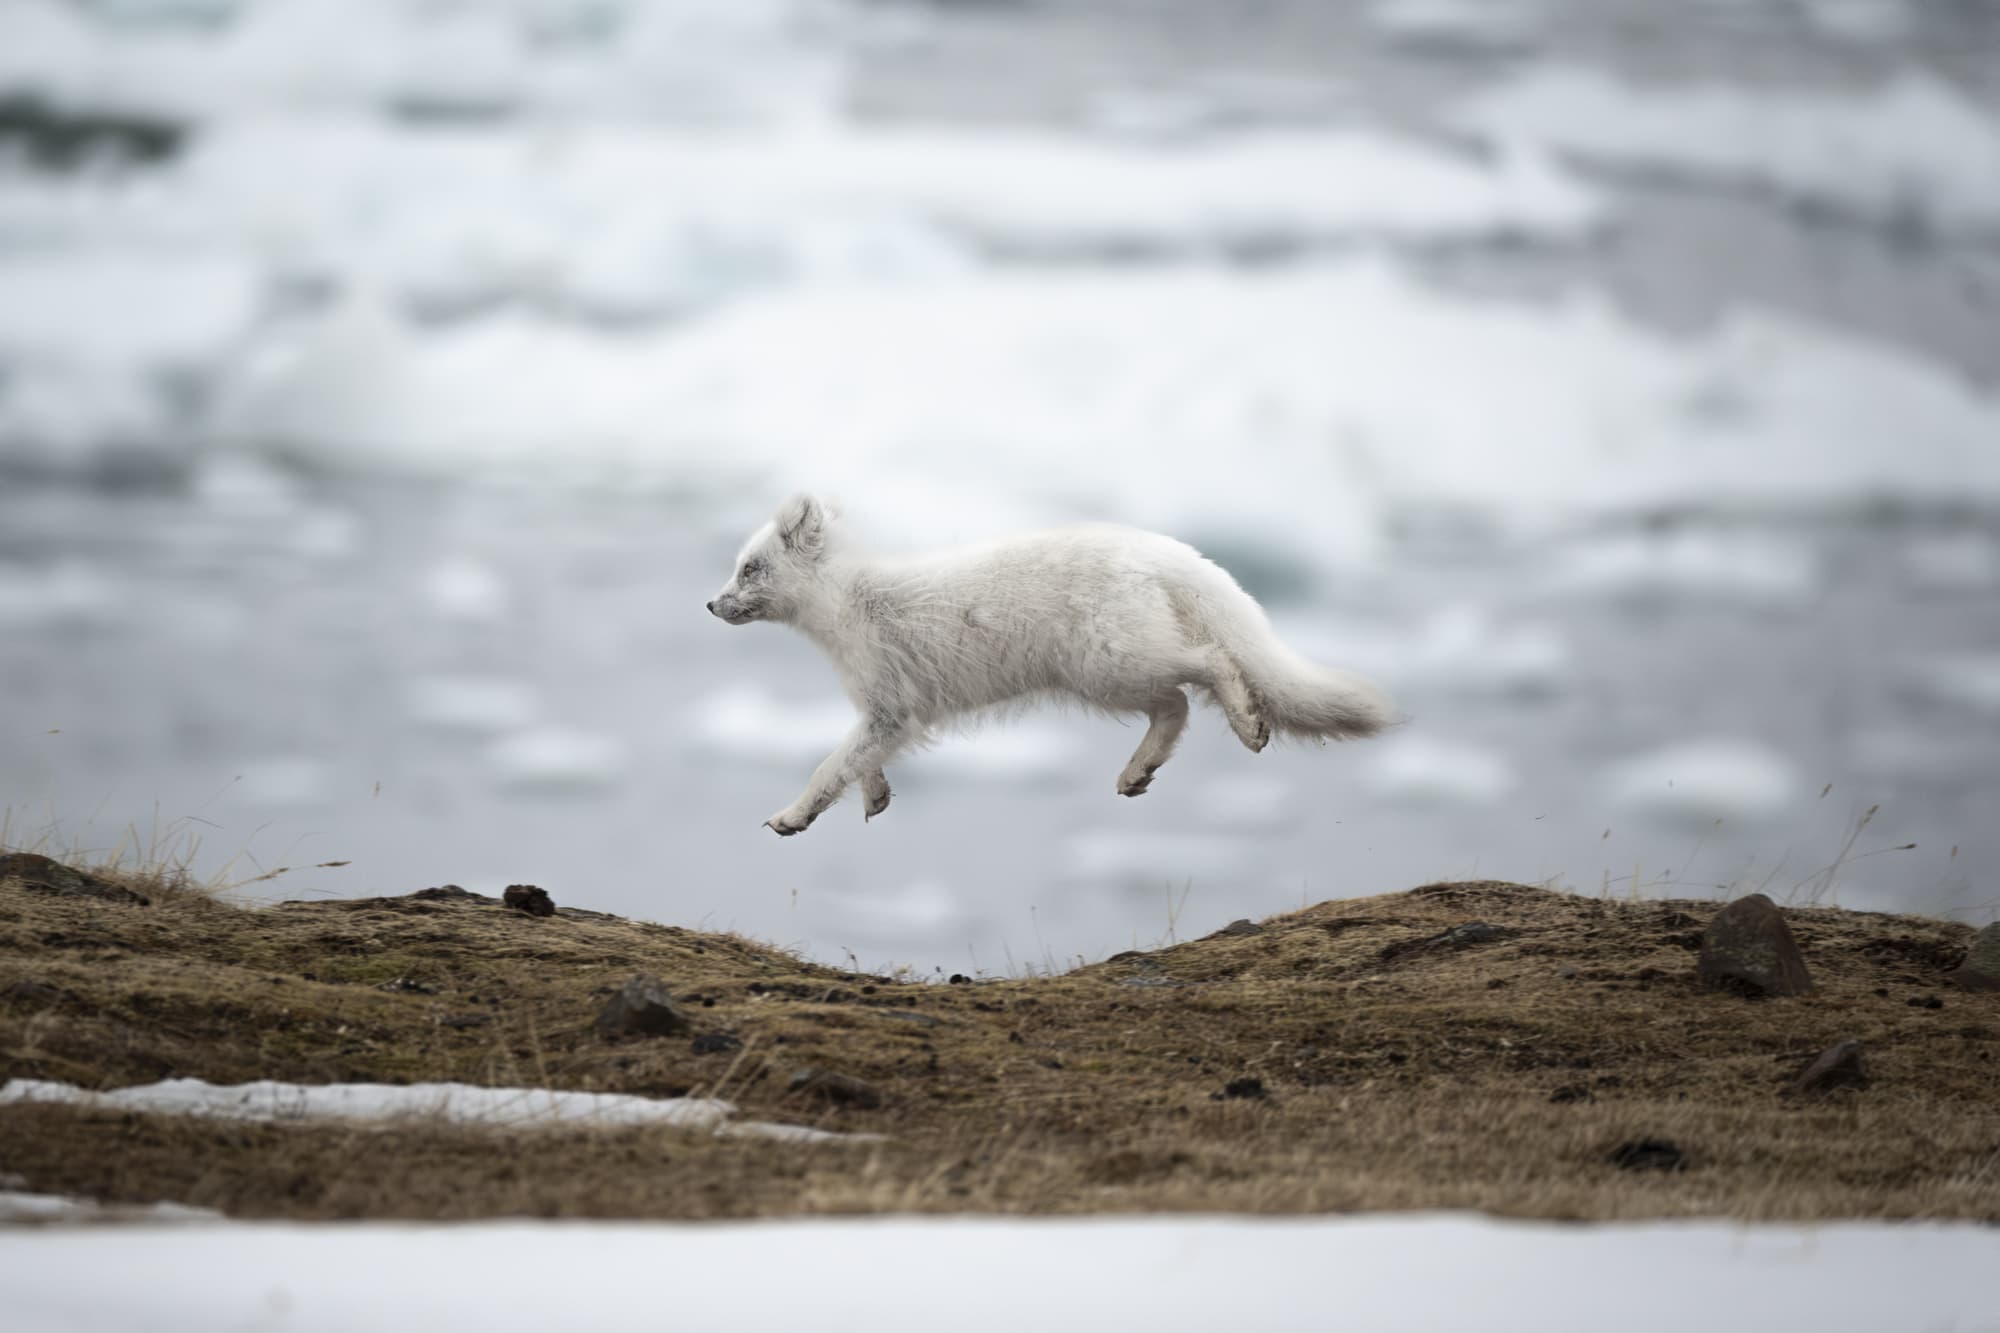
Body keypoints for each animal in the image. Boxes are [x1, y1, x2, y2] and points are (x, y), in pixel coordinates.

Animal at [708, 492, 1392, 836]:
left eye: (750, 569)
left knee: (1209, 664)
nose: (711, 604)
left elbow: (831, 763)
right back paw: (1137, 773)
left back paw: (1249, 726)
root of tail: (1165, 551)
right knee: (1175, 706)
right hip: (1112, 674)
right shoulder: (886, 710)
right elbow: (857, 761)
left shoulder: (893, 706)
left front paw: (792, 816)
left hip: (1111, 661)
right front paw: (874, 800)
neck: (849, 603)